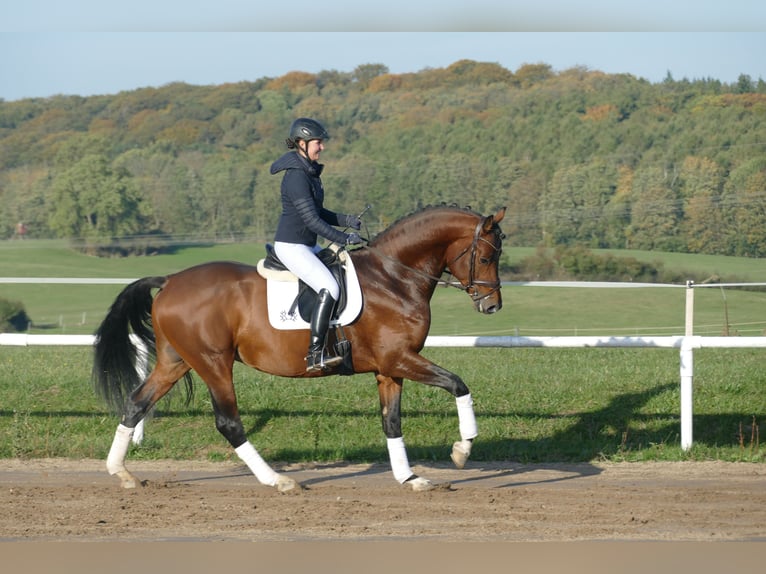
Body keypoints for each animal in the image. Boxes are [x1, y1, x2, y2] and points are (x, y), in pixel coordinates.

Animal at [93, 205, 508, 492]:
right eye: (487, 257)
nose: (492, 307)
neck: (393, 278)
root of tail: (170, 280)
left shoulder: (388, 368)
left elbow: (392, 421)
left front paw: (409, 478)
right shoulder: (400, 359)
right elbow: (457, 384)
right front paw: (462, 449)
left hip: (176, 361)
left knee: (136, 403)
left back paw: (122, 473)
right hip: (213, 363)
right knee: (229, 422)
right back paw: (278, 481)